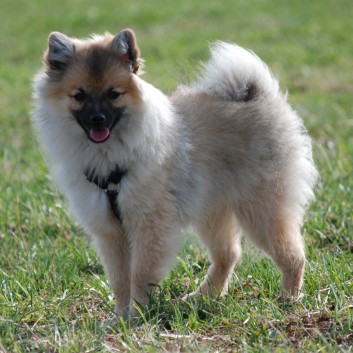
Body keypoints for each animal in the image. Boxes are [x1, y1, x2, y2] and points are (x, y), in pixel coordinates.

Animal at [31, 28, 316, 316]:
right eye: (79, 96)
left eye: (113, 94)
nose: (97, 119)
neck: (109, 156)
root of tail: (258, 95)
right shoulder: (110, 230)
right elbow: (119, 278)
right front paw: (120, 315)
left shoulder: (149, 223)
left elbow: (140, 274)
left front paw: (137, 313)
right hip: (211, 210)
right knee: (228, 254)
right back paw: (204, 296)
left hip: (261, 209)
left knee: (293, 254)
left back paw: (289, 298)